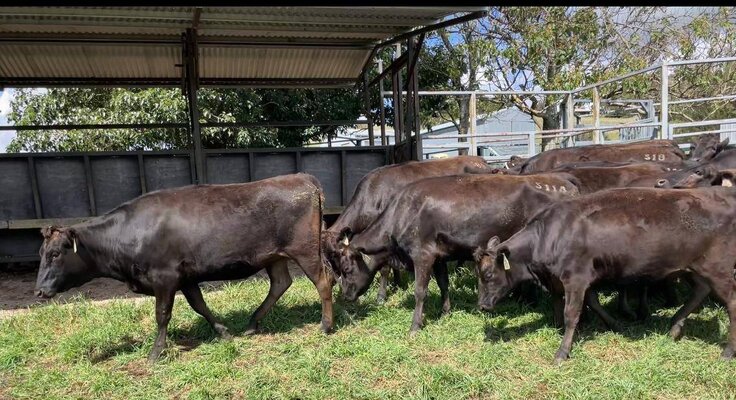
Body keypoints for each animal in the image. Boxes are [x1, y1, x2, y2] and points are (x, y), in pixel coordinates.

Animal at [35, 174, 334, 362]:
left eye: (54, 254)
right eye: (41, 253)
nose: (38, 291)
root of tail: (303, 179)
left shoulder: (165, 277)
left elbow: (162, 314)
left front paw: (156, 352)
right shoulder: (186, 276)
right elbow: (200, 305)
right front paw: (223, 332)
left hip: (305, 250)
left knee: (323, 281)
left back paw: (326, 325)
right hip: (274, 256)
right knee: (281, 283)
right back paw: (252, 323)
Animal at [320, 155, 488, 302]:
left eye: (334, 255)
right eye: (325, 258)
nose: (334, 283)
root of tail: (480, 160)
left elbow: (384, 268)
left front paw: (381, 296)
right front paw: (397, 283)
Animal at [332, 173, 580, 332]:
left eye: (346, 269)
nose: (345, 296)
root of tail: (560, 180)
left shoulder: (422, 255)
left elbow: (420, 291)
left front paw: (415, 325)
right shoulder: (439, 256)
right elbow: (443, 283)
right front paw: (445, 312)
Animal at [474, 186, 736, 364]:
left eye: (488, 274)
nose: (482, 305)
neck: (552, 234)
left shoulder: (575, 278)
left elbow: (572, 314)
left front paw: (562, 352)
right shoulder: (583, 279)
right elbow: (593, 302)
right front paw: (615, 323)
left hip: (718, 269)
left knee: (731, 302)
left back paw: (727, 351)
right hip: (695, 268)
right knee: (700, 290)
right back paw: (674, 327)